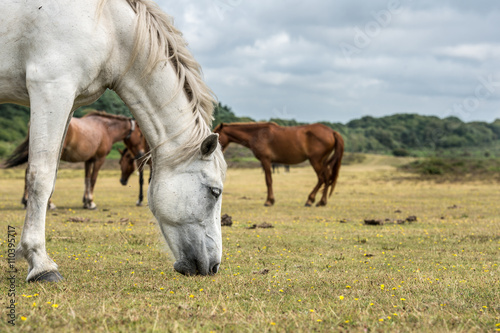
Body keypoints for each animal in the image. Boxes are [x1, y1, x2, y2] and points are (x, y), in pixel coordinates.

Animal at [4, 113, 143, 209]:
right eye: (141, 135)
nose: (141, 154)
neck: (105, 128)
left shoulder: (89, 160)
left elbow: (87, 180)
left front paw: (86, 202)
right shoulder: (99, 159)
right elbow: (93, 179)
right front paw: (91, 202)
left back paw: (26, 201)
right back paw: (48, 203)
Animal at [215, 121, 344, 205]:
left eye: (216, 135)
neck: (256, 134)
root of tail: (332, 132)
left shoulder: (266, 160)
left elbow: (268, 180)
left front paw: (269, 201)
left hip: (316, 160)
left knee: (322, 178)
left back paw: (310, 200)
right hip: (323, 161)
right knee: (327, 177)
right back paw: (322, 201)